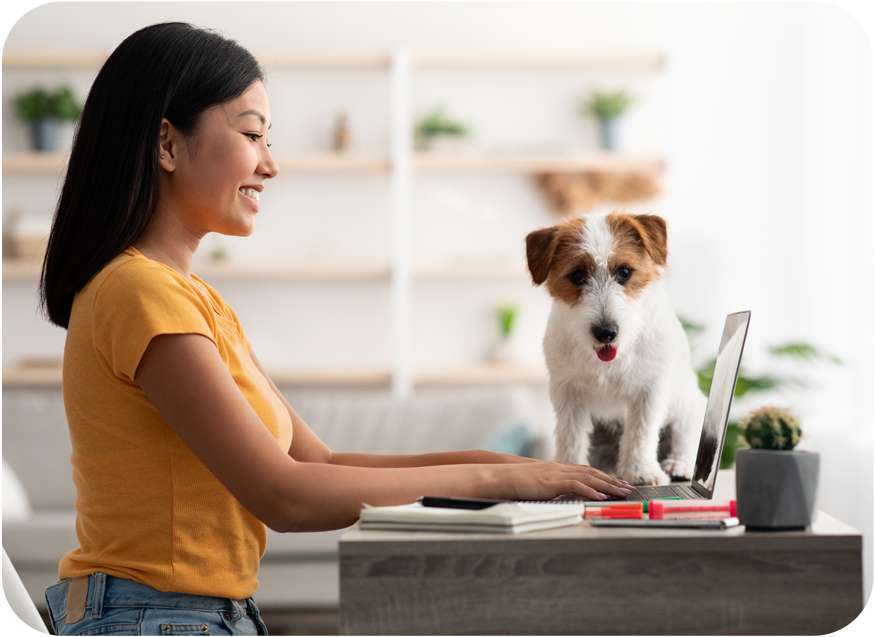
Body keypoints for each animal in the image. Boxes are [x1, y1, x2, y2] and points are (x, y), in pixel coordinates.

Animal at [528, 211, 704, 484]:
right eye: (577, 275)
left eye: (624, 271)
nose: (605, 332)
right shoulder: (568, 392)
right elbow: (570, 433)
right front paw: (570, 466)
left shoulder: (649, 391)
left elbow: (641, 432)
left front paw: (641, 471)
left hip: (690, 409)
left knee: (684, 439)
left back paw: (678, 465)